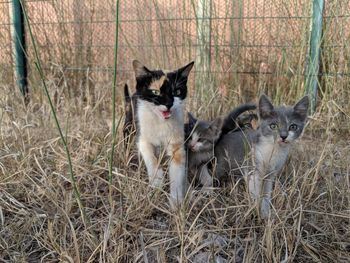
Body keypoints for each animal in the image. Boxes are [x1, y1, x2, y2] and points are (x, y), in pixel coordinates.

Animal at [133, 59, 196, 206]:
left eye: (177, 91)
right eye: (155, 92)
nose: (168, 103)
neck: (160, 123)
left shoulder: (177, 146)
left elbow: (177, 173)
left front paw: (176, 202)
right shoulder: (142, 139)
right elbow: (150, 158)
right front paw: (157, 182)